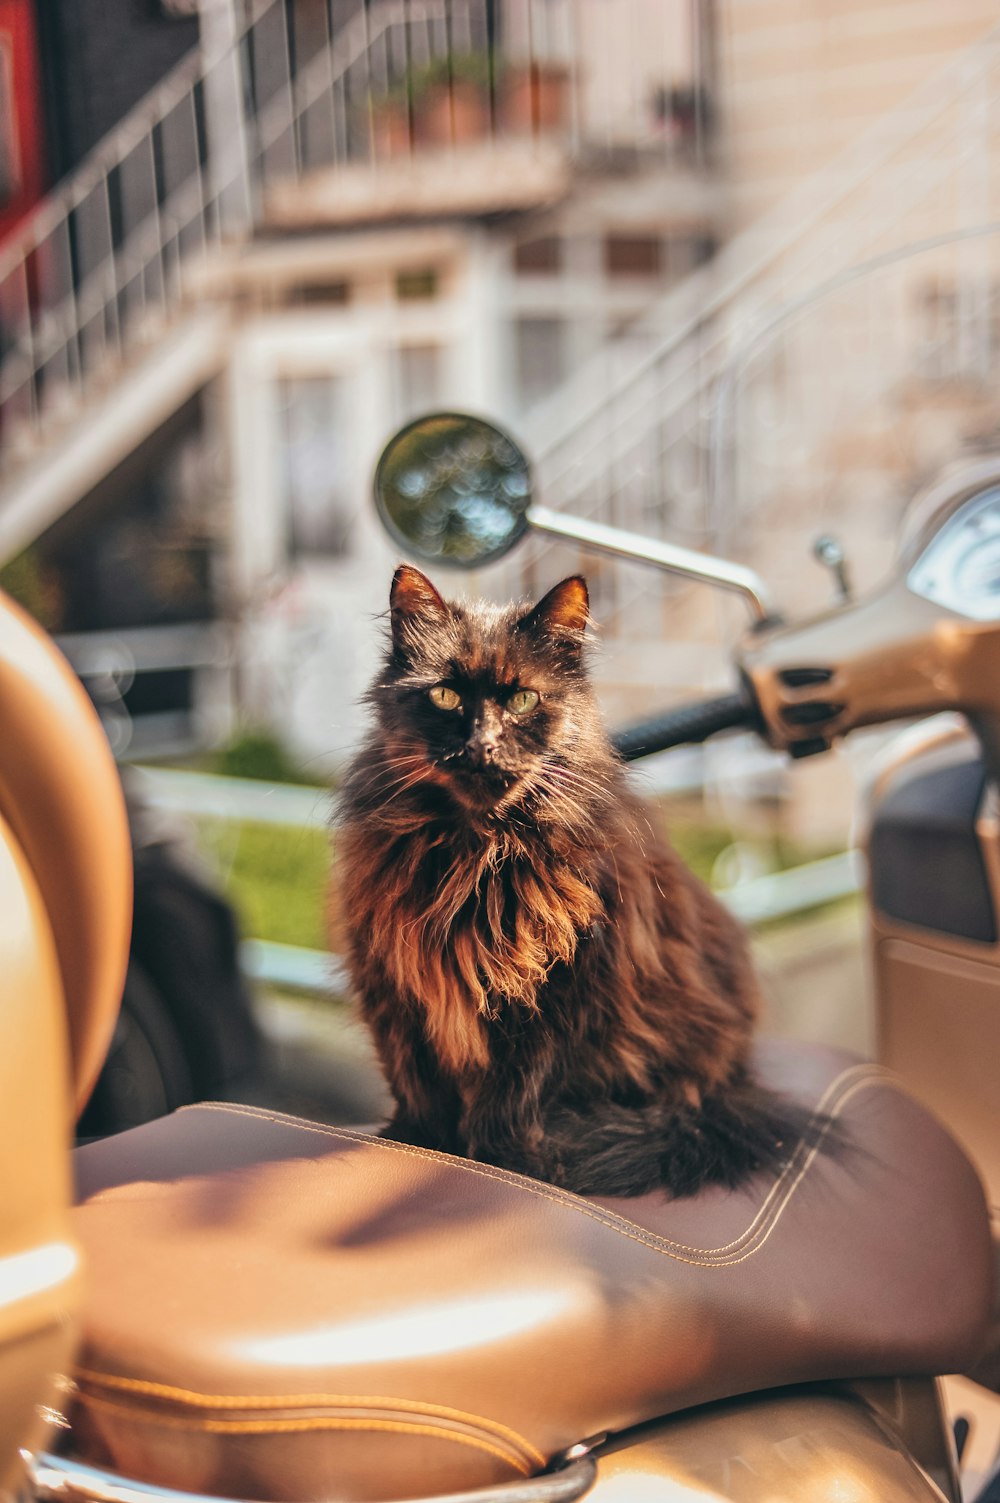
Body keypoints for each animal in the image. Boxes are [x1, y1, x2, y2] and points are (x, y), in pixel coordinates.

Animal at [335, 565, 824, 1196]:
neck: (477, 855)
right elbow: (415, 1084)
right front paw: (413, 1145)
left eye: (523, 699)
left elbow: (511, 1099)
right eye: (445, 695)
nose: (481, 745)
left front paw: (504, 1165)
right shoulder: (391, 981)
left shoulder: (559, 991)